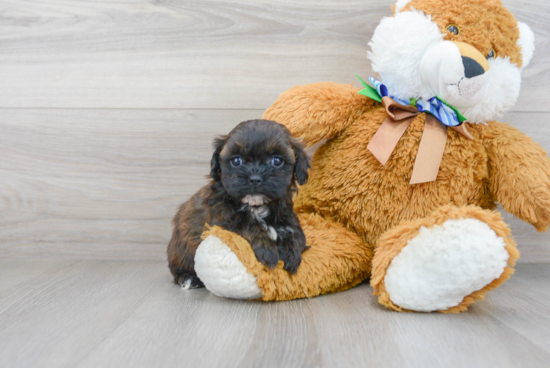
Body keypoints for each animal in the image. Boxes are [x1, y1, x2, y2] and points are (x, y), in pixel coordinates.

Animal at [166, 119, 312, 288]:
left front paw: (291, 253)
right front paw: (267, 250)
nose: (255, 178)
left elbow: (298, 235)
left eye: (277, 161)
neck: (257, 207)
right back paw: (188, 278)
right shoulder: (222, 219)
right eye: (236, 161)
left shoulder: (287, 216)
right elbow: (248, 224)